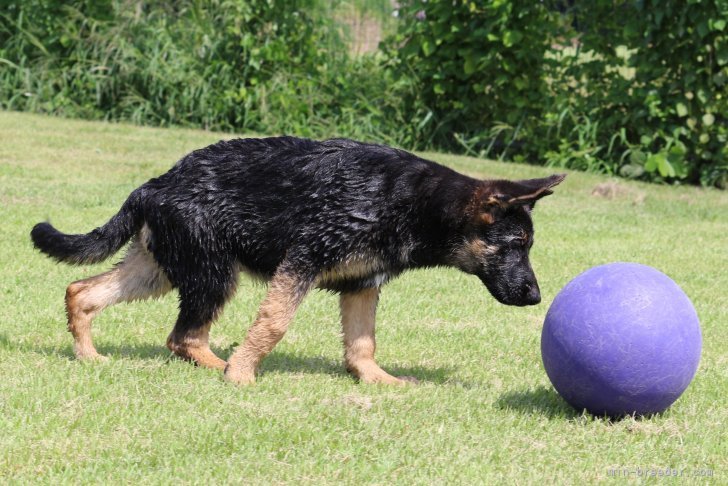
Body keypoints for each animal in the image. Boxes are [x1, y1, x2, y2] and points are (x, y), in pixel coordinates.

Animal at [29, 136, 568, 384]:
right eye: (516, 244)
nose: (536, 296)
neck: (409, 202)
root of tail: (153, 184)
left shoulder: (362, 285)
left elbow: (362, 345)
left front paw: (377, 380)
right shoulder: (301, 263)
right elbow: (273, 323)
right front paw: (242, 376)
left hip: (160, 271)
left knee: (82, 291)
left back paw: (89, 355)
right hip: (213, 275)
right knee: (183, 337)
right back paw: (224, 366)